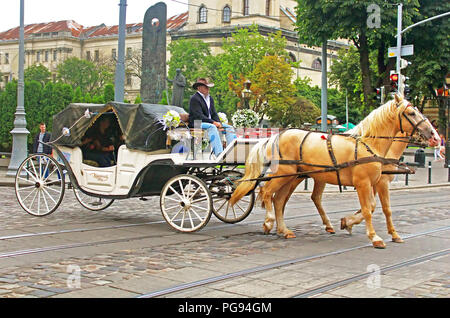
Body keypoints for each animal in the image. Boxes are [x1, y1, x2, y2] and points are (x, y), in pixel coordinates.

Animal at [230, 94, 442, 248]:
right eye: (411, 113)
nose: (435, 137)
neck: (369, 145)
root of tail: (275, 136)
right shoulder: (365, 184)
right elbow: (368, 210)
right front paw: (374, 237)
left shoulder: (376, 183)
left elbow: (382, 209)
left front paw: (388, 232)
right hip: (284, 173)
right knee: (266, 192)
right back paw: (269, 222)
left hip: (294, 176)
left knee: (279, 200)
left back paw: (285, 230)